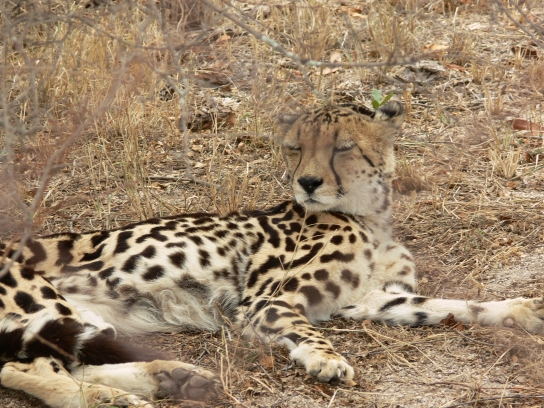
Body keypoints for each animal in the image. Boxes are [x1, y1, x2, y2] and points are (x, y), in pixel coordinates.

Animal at [1, 101, 544, 408]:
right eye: (295, 147)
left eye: (343, 147)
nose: (308, 182)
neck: (366, 214)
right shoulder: (267, 302)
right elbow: (306, 329)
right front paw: (326, 360)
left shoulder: (373, 299)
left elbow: (453, 306)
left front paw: (522, 309)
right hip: (44, 304)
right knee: (27, 367)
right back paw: (112, 399)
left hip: (85, 317)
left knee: (62, 359)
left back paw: (171, 378)